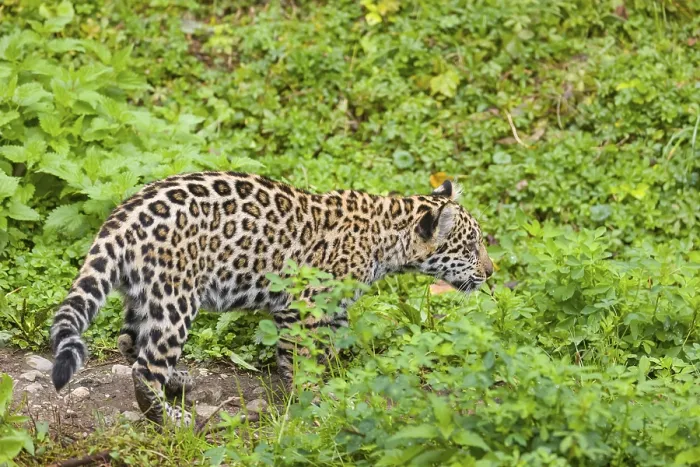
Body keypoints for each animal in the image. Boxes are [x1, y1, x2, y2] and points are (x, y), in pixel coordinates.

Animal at [49, 171, 493, 426]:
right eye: (472, 246)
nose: (491, 272)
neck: (386, 237)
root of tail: (120, 219)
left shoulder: (333, 307)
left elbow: (333, 345)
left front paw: (342, 380)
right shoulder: (303, 305)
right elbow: (302, 356)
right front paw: (311, 395)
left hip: (143, 294)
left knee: (129, 340)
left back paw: (176, 382)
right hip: (176, 297)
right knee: (146, 367)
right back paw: (170, 419)